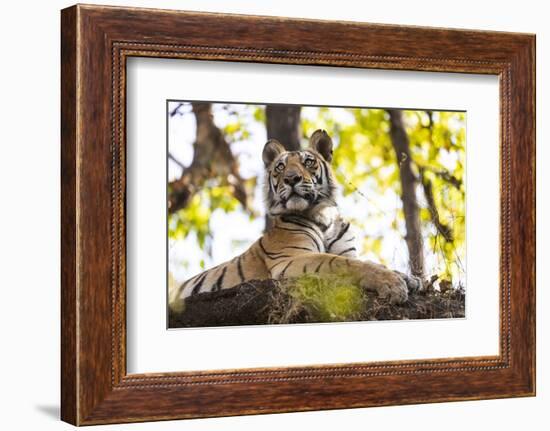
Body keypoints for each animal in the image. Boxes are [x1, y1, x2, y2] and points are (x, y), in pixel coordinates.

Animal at [170, 130, 420, 308]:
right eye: (280, 167)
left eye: (308, 162)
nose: (291, 178)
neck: (323, 217)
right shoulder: (290, 258)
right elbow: (342, 263)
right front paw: (392, 284)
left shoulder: (346, 251)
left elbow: (367, 261)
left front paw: (410, 279)